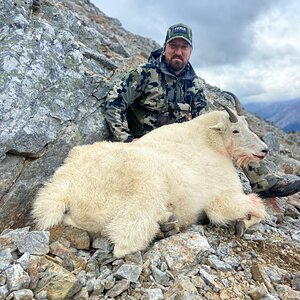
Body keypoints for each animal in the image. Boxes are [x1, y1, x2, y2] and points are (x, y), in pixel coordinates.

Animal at [33, 106, 270, 256]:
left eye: (248, 125)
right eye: (236, 130)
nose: (264, 150)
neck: (211, 143)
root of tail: (64, 191)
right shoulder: (222, 197)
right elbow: (251, 208)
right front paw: (242, 223)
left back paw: (168, 223)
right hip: (147, 187)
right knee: (126, 241)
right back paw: (165, 226)